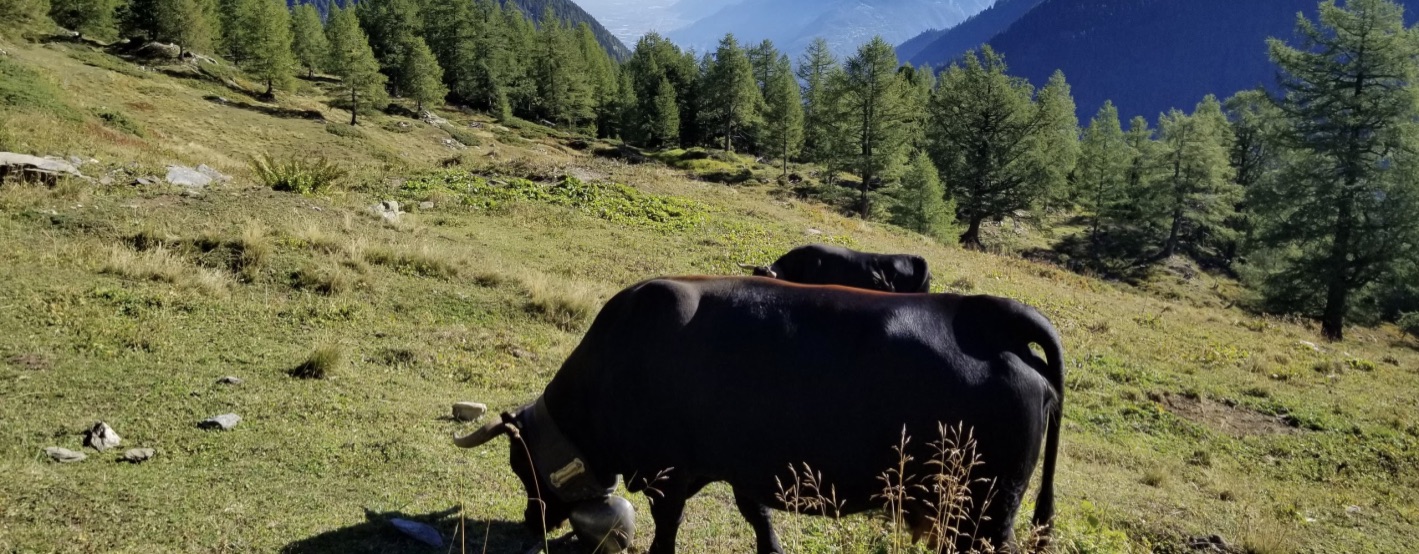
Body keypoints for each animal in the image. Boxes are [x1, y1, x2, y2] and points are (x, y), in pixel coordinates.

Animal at [448, 277, 1061, 554]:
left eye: (519, 465)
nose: (529, 523)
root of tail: (992, 315)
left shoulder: (668, 474)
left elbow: (667, 528)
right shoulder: (744, 472)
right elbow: (761, 522)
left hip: (983, 510)